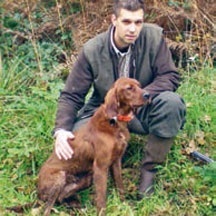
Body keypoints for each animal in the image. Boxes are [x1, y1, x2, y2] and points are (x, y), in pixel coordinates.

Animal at [37, 77, 148, 215]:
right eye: (129, 88)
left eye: (139, 85)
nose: (148, 95)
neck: (115, 122)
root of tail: (38, 192)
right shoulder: (100, 166)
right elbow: (101, 196)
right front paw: (102, 212)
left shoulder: (116, 161)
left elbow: (120, 186)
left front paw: (125, 205)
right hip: (60, 177)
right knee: (47, 208)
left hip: (85, 179)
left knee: (61, 197)